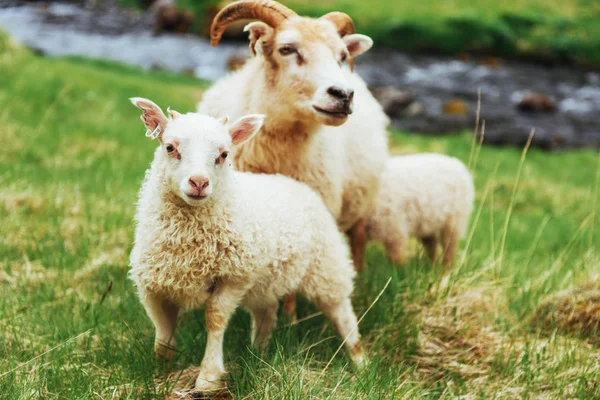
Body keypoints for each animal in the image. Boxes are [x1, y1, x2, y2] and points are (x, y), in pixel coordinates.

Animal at [127, 97, 366, 394]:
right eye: (170, 147)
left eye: (224, 154)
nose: (199, 182)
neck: (189, 244)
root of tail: (292, 182)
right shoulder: (154, 287)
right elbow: (162, 331)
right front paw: (160, 370)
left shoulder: (235, 277)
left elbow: (215, 319)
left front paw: (208, 378)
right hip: (268, 281)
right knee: (267, 315)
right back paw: (258, 355)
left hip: (326, 267)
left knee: (343, 315)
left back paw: (361, 362)